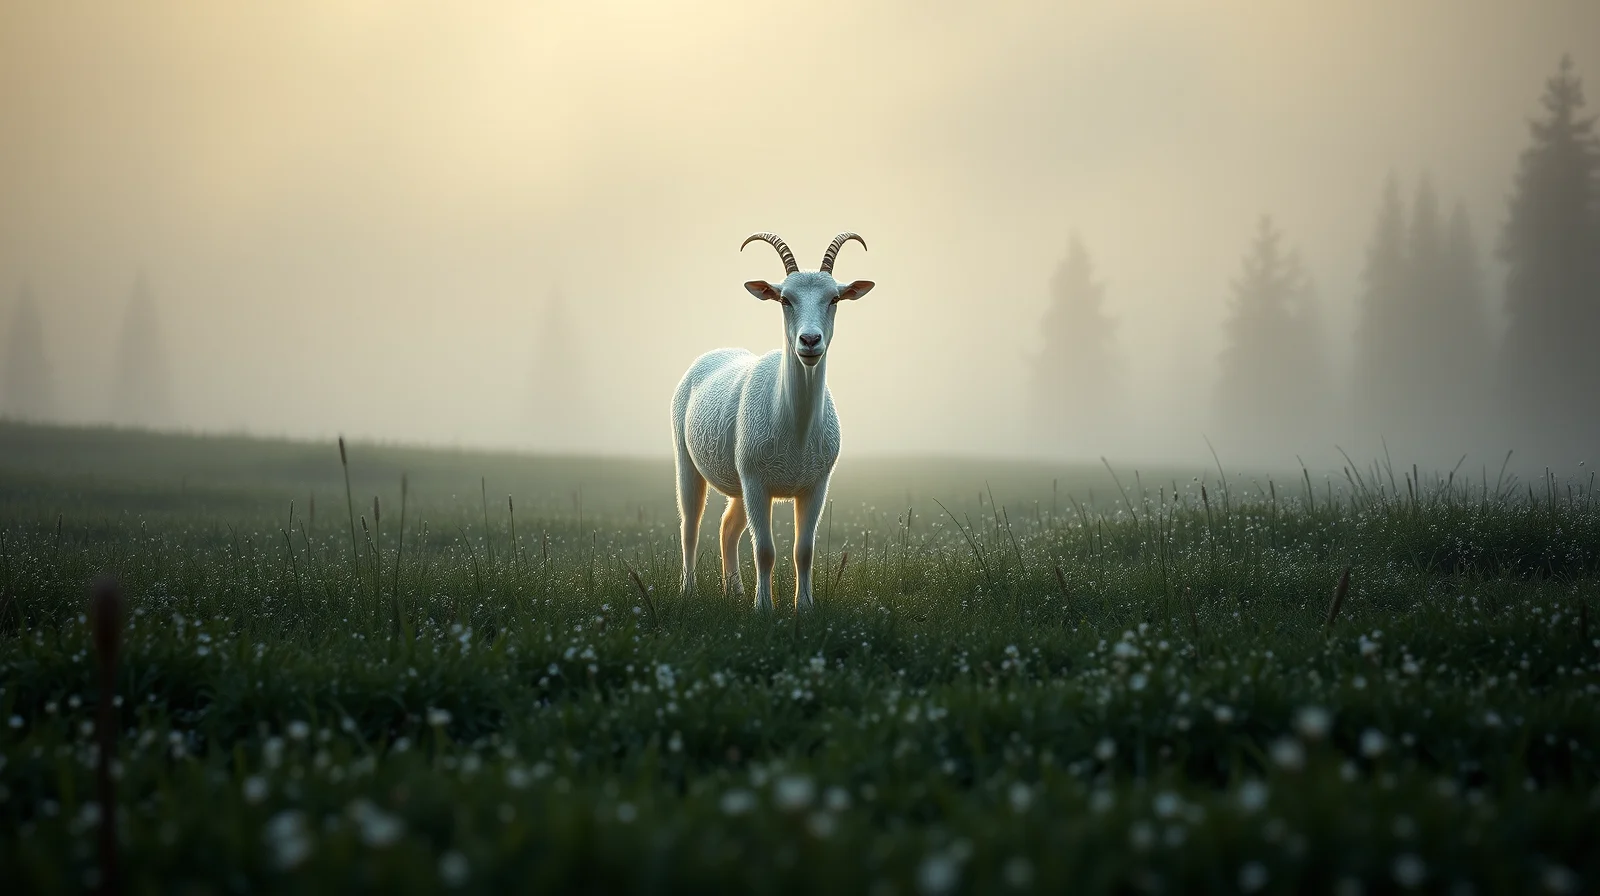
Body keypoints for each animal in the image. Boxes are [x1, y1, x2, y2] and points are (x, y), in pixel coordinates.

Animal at [672, 232, 875, 611]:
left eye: (834, 298)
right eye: (784, 298)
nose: (809, 341)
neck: (794, 429)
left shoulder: (815, 485)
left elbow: (804, 550)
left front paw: (804, 607)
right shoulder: (757, 483)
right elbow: (764, 550)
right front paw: (764, 607)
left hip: (740, 483)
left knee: (727, 527)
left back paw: (734, 591)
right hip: (689, 461)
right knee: (690, 525)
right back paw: (688, 591)